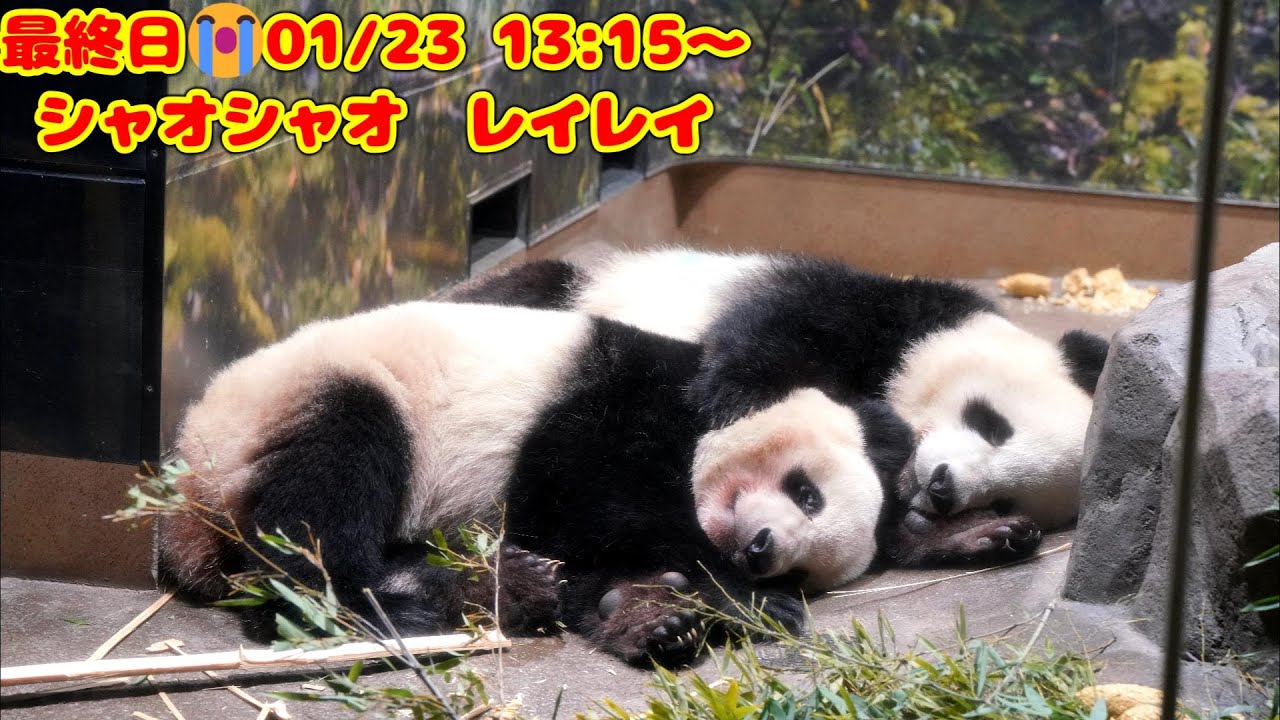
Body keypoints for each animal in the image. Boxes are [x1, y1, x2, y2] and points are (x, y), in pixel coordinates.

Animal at [161, 300, 931, 667]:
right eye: (807, 492)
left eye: (805, 566)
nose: (763, 551)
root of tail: (190, 487)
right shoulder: (623, 396)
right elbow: (587, 496)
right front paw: (744, 602)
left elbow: (601, 562)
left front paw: (652, 616)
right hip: (316, 397)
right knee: (324, 499)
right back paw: (410, 602)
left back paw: (493, 585)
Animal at [444, 248, 1112, 534]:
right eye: (992, 424)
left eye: (1005, 499)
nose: (945, 489)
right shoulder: (892, 311)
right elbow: (780, 326)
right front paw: (732, 400)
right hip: (573, 288)